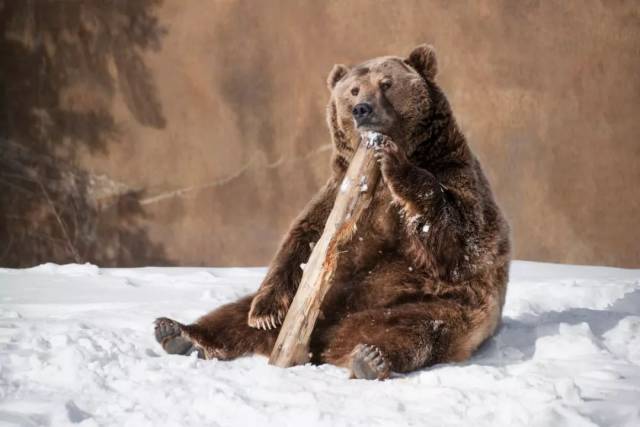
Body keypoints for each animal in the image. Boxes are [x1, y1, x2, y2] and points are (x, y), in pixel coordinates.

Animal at [155, 44, 510, 382]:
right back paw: (177, 332)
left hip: (434, 306)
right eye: (353, 90)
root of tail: (326, 341)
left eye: (386, 83)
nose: (361, 109)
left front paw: (395, 163)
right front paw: (265, 312)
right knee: (233, 316)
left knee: (416, 329)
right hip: (329, 298)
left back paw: (369, 358)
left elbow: (464, 241)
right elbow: (305, 240)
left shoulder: (452, 171)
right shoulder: (338, 189)